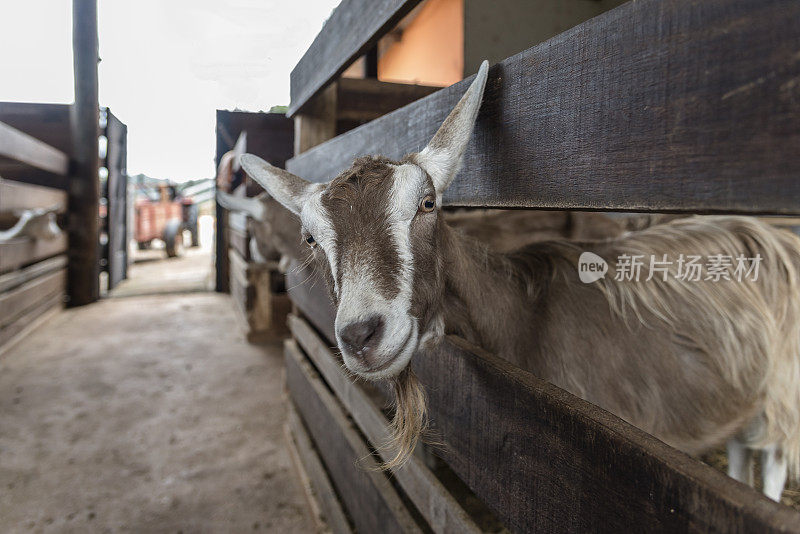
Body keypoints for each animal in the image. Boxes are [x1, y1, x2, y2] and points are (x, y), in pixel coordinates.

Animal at [239, 63, 800, 502]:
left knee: (772, 460)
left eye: (427, 204)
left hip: (784, 386)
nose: (361, 336)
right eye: (311, 237)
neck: (526, 315)